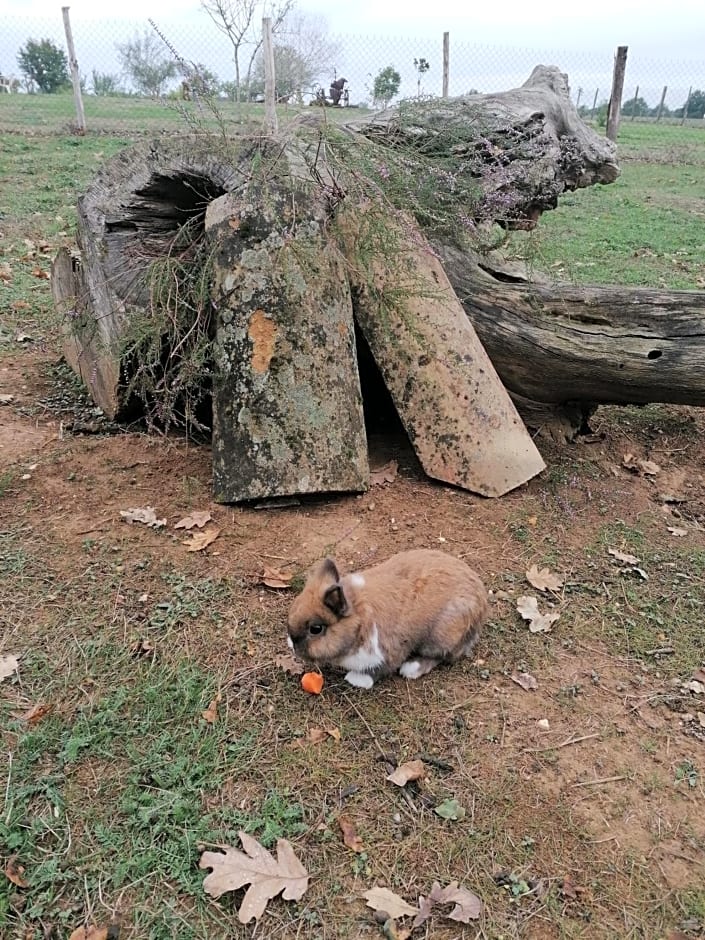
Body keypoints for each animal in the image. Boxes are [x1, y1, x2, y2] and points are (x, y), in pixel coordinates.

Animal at [284, 552, 486, 692]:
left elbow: (381, 668)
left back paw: (411, 668)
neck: (358, 619)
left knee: (442, 656)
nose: (293, 644)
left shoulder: (389, 650)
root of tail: (481, 603)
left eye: (316, 629)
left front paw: (355, 679)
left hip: (440, 636)